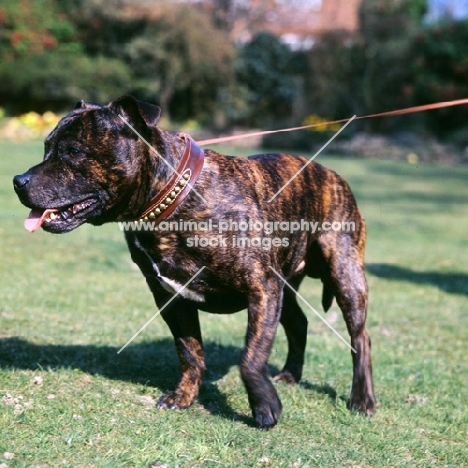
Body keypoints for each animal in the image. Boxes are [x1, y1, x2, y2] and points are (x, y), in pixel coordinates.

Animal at [11, 97, 376, 430]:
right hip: (286, 287)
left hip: (345, 276)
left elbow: (250, 359)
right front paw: (184, 396)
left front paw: (264, 407)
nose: (18, 181)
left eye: (73, 152)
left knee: (360, 338)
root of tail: (331, 174)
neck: (172, 199)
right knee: (299, 323)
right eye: (46, 148)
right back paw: (290, 375)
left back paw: (362, 400)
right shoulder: (172, 298)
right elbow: (189, 353)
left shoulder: (262, 288)